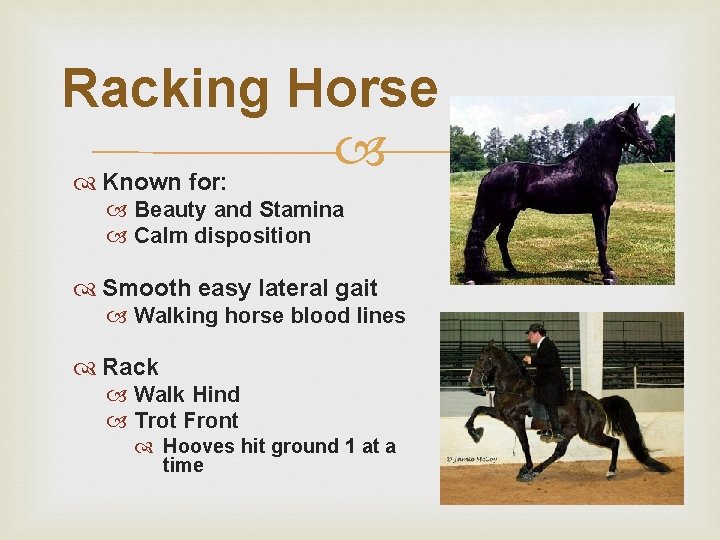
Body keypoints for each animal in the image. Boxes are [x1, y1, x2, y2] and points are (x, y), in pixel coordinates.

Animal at [463, 103, 656, 285]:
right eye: (634, 124)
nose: (651, 146)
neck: (594, 168)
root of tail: (488, 175)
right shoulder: (599, 209)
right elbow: (601, 241)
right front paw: (607, 275)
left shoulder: (605, 210)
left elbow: (604, 238)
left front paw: (607, 269)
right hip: (495, 213)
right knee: (477, 238)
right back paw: (472, 277)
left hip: (510, 213)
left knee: (501, 238)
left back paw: (511, 269)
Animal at [464, 341, 671, 482]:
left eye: (481, 359)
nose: (470, 380)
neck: (514, 387)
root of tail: (597, 402)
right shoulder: (501, 414)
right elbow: (477, 409)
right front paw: (475, 432)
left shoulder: (517, 420)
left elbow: (525, 446)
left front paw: (526, 468)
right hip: (570, 431)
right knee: (559, 452)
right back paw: (537, 470)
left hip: (590, 433)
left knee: (615, 443)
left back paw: (610, 471)